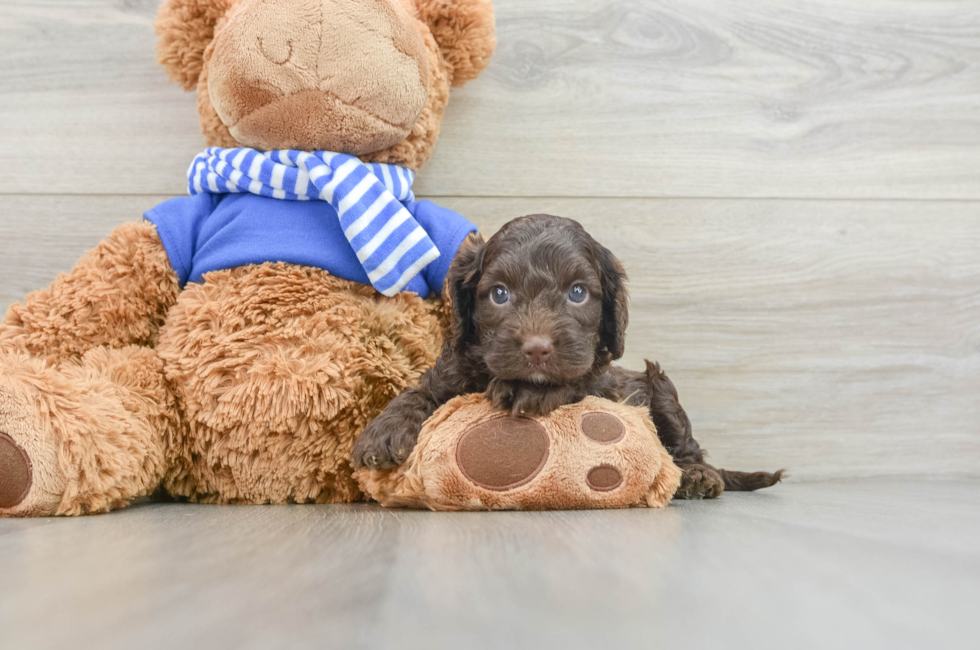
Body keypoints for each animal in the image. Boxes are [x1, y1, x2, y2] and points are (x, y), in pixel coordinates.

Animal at [352, 213, 780, 496]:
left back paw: (697, 476)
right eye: (499, 293)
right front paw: (383, 431)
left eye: (577, 292)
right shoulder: (453, 368)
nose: (537, 348)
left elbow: (578, 380)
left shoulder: (603, 384)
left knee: (688, 446)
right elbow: (421, 391)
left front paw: (531, 390)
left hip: (661, 387)